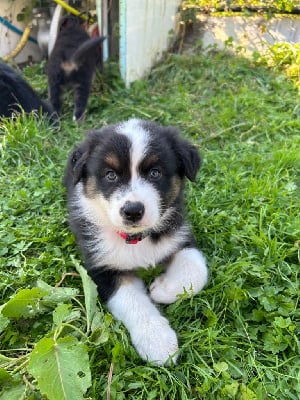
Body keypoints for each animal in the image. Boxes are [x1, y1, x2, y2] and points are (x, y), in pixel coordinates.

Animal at [64, 117, 207, 364]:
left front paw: (162, 288)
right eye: (110, 175)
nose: (132, 211)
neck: (135, 239)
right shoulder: (102, 268)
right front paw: (158, 342)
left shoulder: (180, 236)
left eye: (155, 173)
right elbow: (132, 301)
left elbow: (196, 270)